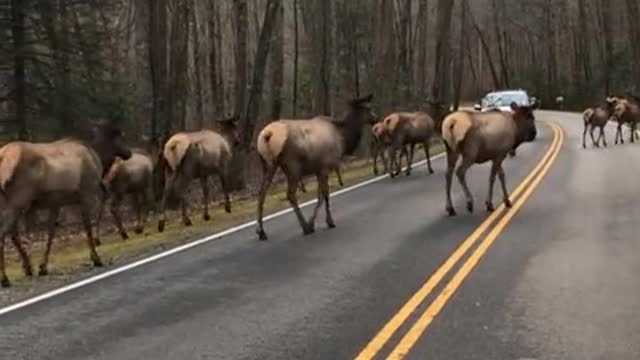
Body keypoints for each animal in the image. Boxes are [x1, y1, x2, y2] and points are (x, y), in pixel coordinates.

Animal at [0, 123, 131, 286]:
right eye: (120, 137)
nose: (129, 152)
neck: (99, 158)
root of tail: (3, 157)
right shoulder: (86, 194)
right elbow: (87, 228)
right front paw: (96, 258)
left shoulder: (56, 203)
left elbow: (51, 233)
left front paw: (43, 267)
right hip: (18, 199)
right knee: (4, 232)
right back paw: (5, 278)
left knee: (13, 233)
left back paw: (27, 268)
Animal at [254, 93, 376, 239]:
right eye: (368, 108)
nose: (376, 118)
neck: (343, 138)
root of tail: (268, 134)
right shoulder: (324, 168)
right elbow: (324, 195)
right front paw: (325, 222)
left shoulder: (318, 170)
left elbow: (322, 195)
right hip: (293, 167)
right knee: (290, 195)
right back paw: (305, 226)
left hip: (268, 165)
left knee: (261, 193)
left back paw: (261, 231)